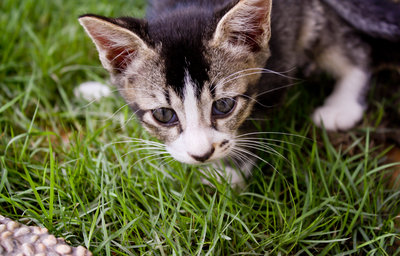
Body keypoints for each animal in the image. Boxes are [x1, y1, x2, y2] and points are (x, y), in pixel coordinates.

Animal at [78, 0, 400, 184]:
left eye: (223, 106)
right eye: (163, 114)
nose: (202, 155)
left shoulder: (277, 65)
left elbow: (254, 123)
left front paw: (227, 174)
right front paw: (98, 90)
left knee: (353, 49)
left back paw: (343, 106)